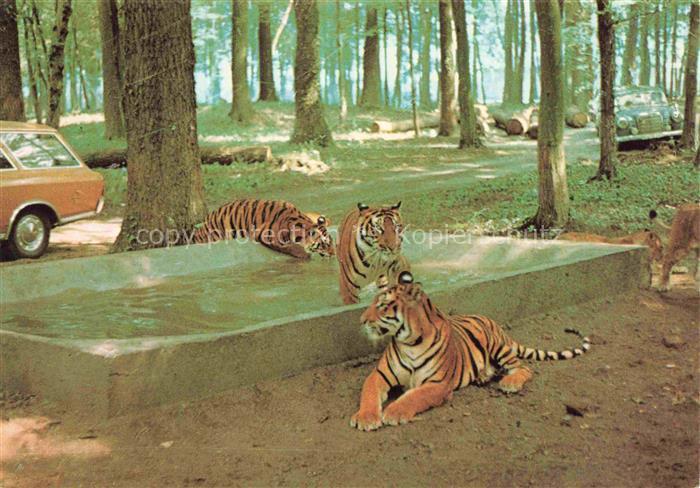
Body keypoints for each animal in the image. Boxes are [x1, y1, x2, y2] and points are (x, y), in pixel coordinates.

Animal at [191, 199, 334, 259]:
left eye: (332, 242)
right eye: (324, 244)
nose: (334, 254)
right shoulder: (269, 236)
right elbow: (291, 247)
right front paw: (304, 255)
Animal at [350, 271, 590, 431]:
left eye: (383, 305)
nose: (361, 320)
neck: (408, 341)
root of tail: (490, 320)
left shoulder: (438, 384)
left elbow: (414, 396)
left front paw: (394, 412)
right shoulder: (379, 374)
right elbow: (369, 392)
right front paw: (366, 418)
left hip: (498, 347)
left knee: (524, 367)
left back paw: (510, 382)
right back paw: (484, 376)